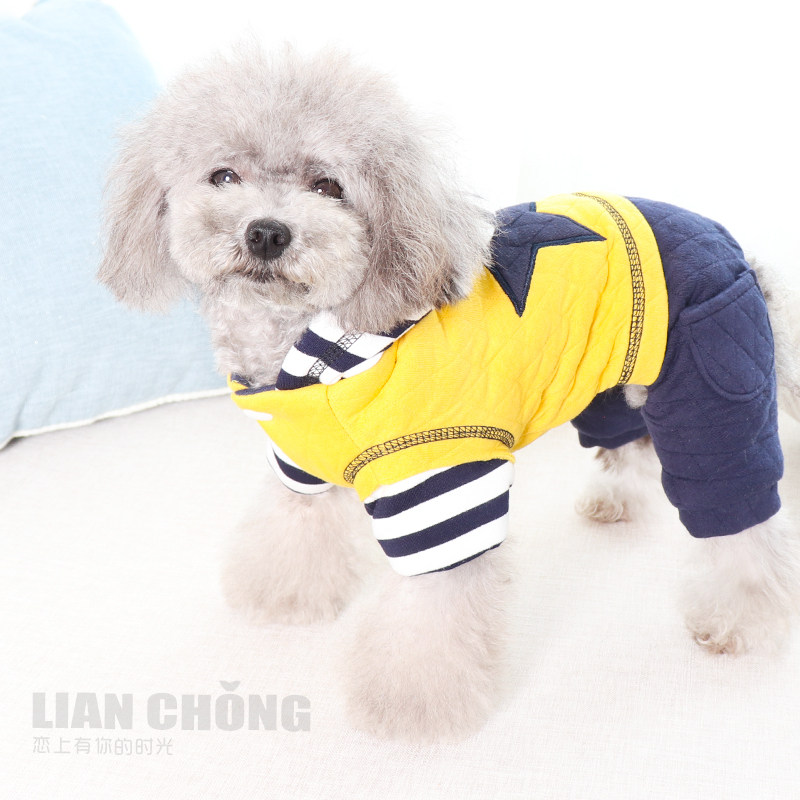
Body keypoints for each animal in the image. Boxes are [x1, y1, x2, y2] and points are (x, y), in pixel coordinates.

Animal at [99, 45, 800, 742]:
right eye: (223, 176)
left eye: (328, 187)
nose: (267, 232)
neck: (319, 347)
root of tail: (731, 243)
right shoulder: (301, 464)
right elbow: (292, 531)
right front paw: (284, 597)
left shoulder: (443, 485)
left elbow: (432, 617)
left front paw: (410, 706)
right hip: (610, 376)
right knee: (625, 443)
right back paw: (613, 502)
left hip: (713, 380)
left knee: (738, 515)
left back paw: (736, 621)